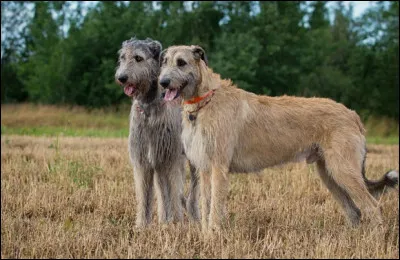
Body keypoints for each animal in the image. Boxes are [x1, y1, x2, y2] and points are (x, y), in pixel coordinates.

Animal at [115, 37, 199, 226]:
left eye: (138, 58)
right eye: (122, 57)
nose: (121, 77)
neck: (149, 108)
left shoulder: (171, 159)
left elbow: (174, 192)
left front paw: (176, 223)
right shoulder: (143, 160)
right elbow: (144, 195)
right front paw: (142, 226)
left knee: (193, 191)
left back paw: (193, 216)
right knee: (163, 191)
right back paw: (163, 219)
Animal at [158, 44, 398, 232]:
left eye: (181, 62)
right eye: (165, 62)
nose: (162, 83)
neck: (205, 100)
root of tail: (352, 114)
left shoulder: (218, 167)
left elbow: (215, 207)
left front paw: (213, 236)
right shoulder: (206, 169)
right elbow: (206, 205)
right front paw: (206, 234)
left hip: (343, 169)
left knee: (372, 206)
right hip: (329, 173)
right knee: (354, 211)